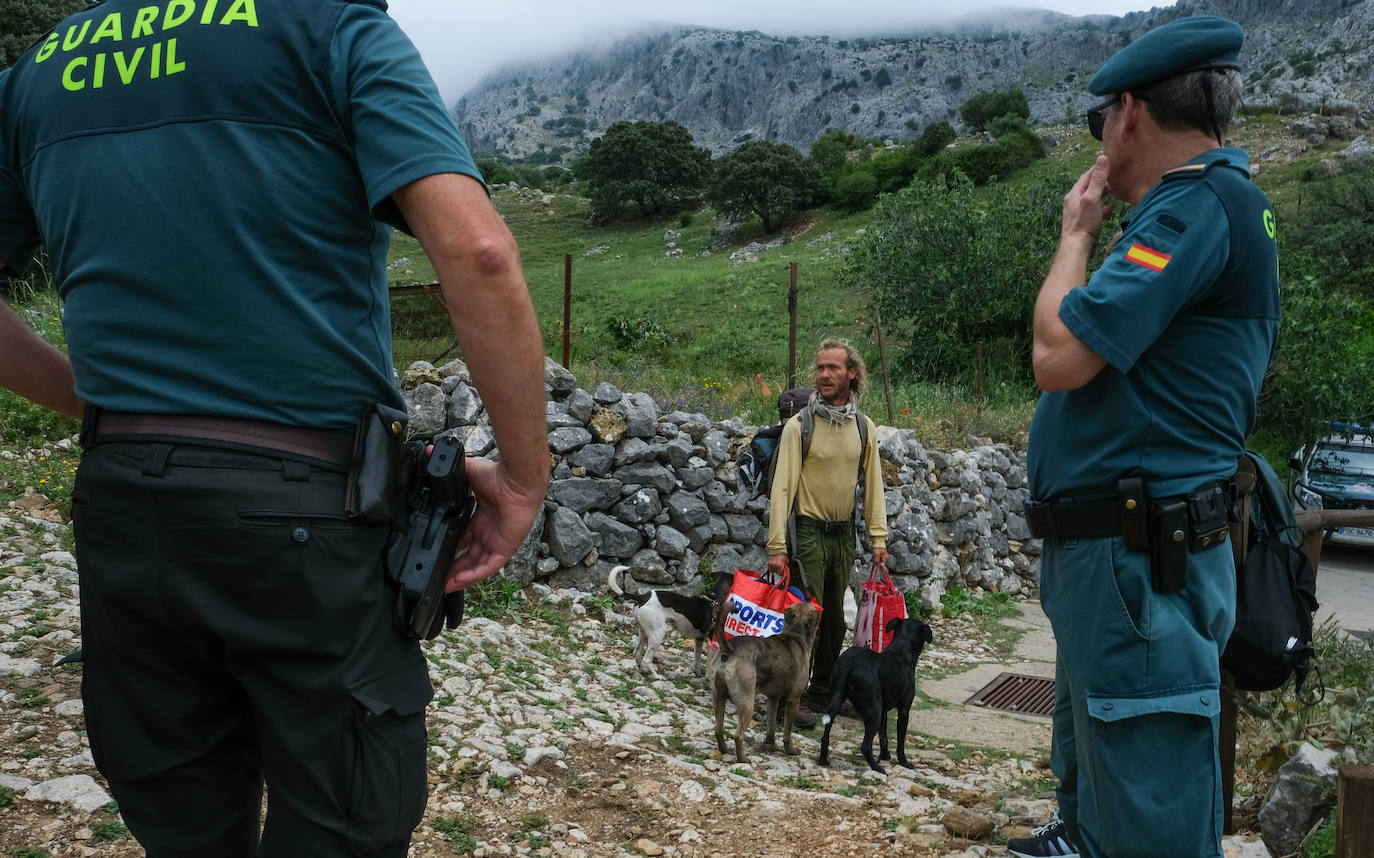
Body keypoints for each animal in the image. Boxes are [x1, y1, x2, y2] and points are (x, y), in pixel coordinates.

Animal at [714, 599, 818, 759]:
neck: (796, 633)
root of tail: (730, 649)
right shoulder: (793, 699)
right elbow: (787, 731)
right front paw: (790, 750)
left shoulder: (773, 698)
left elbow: (771, 724)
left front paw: (769, 744)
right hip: (747, 702)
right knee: (738, 735)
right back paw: (743, 759)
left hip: (719, 697)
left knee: (718, 729)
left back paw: (725, 750)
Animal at [813, 613, 934, 775]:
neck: (901, 651)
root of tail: (849, 663)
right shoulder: (903, 711)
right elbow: (900, 742)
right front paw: (904, 762)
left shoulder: (883, 711)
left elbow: (883, 737)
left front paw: (885, 755)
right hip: (873, 710)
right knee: (865, 745)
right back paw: (877, 768)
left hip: (836, 701)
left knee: (825, 736)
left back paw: (823, 760)